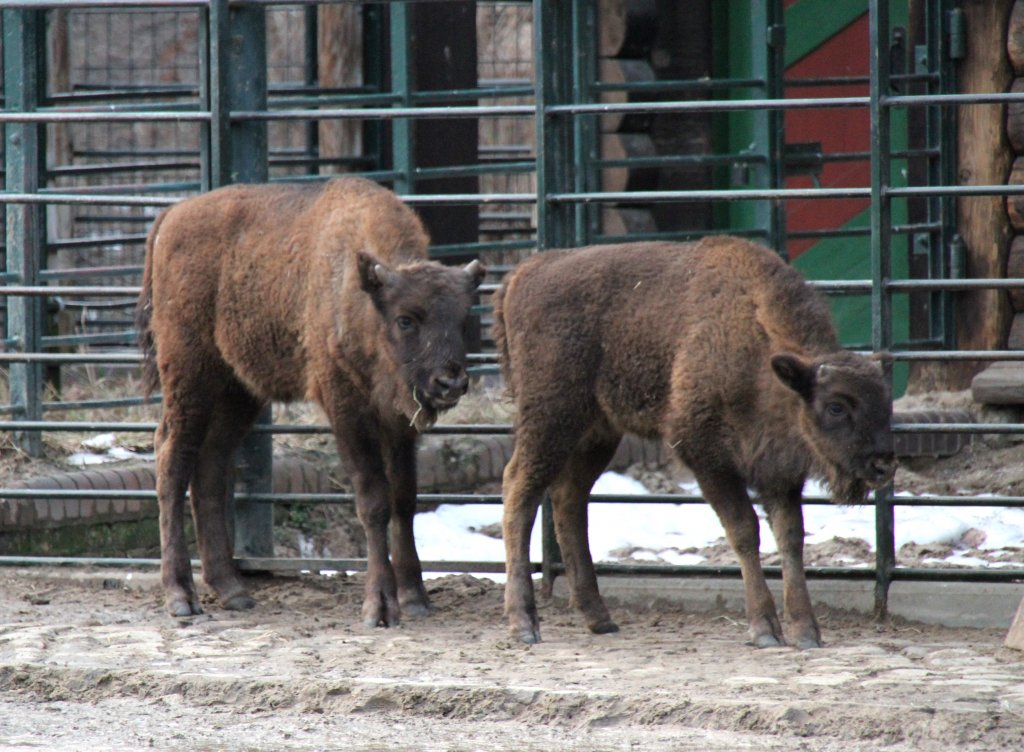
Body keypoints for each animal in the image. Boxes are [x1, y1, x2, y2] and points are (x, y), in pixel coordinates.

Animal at [136, 176, 483, 622]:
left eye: (462, 320)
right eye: (405, 319)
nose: (450, 382)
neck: (359, 296)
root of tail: (171, 217)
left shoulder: (398, 422)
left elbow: (405, 499)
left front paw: (415, 598)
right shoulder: (345, 408)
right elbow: (374, 500)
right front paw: (379, 605)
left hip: (239, 391)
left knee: (210, 466)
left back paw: (232, 590)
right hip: (190, 375)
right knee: (173, 459)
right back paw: (181, 595)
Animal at [495, 236, 897, 647]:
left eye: (886, 402)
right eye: (836, 406)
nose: (883, 463)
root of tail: (525, 272)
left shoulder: (779, 473)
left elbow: (791, 538)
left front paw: (805, 630)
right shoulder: (707, 458)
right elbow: (744, 531)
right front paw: (765, 628)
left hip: (597, 433)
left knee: (569, 498)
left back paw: (599, 617)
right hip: (550, 420)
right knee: (520, 491)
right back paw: (523, 622)